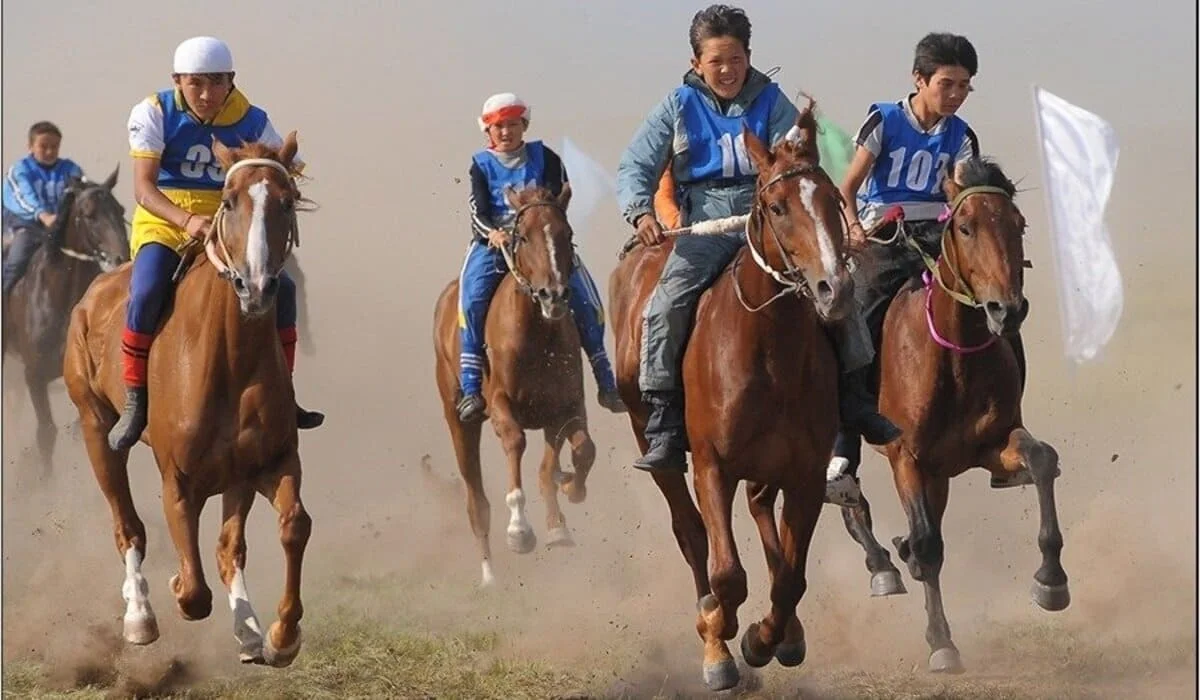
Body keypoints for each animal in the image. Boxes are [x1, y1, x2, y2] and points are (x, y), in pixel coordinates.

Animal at [63, 132, 314, 667]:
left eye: (287, 202)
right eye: (229, 200)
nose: (256, 287)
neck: (231, 359)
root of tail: (93, 292)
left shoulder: (268, 462)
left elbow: (291, 526)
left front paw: (280, 635)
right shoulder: (177, 480)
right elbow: (194, 592)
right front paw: (176, 583)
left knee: (227, 548)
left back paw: (248, 631)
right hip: (95, 428)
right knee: (127, 525)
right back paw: (139, 616)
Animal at [434, 183, 597, 588]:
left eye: (566, 234)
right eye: (522, 236)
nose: (553, 295)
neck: (536, 336)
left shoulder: (565, 407)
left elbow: (578, 453)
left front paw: (564, 507)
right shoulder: (501, 405)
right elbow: (515, 443)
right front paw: (520, 530)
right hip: (458, 421)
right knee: (476, 501)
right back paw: (490, 575)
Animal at [614, 101, 859, 691]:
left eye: (833, 200)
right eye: (776, 206)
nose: (834, 289)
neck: (769, 350)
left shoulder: (804, 473)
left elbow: (791, 578)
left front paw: (768, 637)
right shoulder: (712, 465)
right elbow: (727, 574)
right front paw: (720, 642)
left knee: (761, 511)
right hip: (650, 438)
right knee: (691, 533)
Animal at [835, 157, 1070, 672]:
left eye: (1019, 224)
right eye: (965, 226)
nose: (1007, 310)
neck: (955, 356)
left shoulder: (992, 444)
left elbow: (1042, 460)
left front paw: (1051, 580)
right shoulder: (906, 457)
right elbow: (927, 543)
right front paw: (941, 642)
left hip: (941, 473)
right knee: (849, 498)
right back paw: (881, 563)